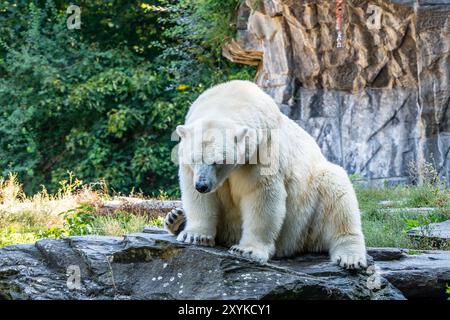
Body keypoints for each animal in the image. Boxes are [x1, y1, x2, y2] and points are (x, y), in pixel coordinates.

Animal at [171, 79, 368, 268]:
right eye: (194, 159)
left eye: (218, 162)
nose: (202, 185)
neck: (231, 97)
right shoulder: (191, 168)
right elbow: (197, 197)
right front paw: (195, 235)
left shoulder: (262, 151)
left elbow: (261, 196)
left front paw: (247, 250)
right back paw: (175, 218)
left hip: (311, 205)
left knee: (338, 196)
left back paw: (350, 257)